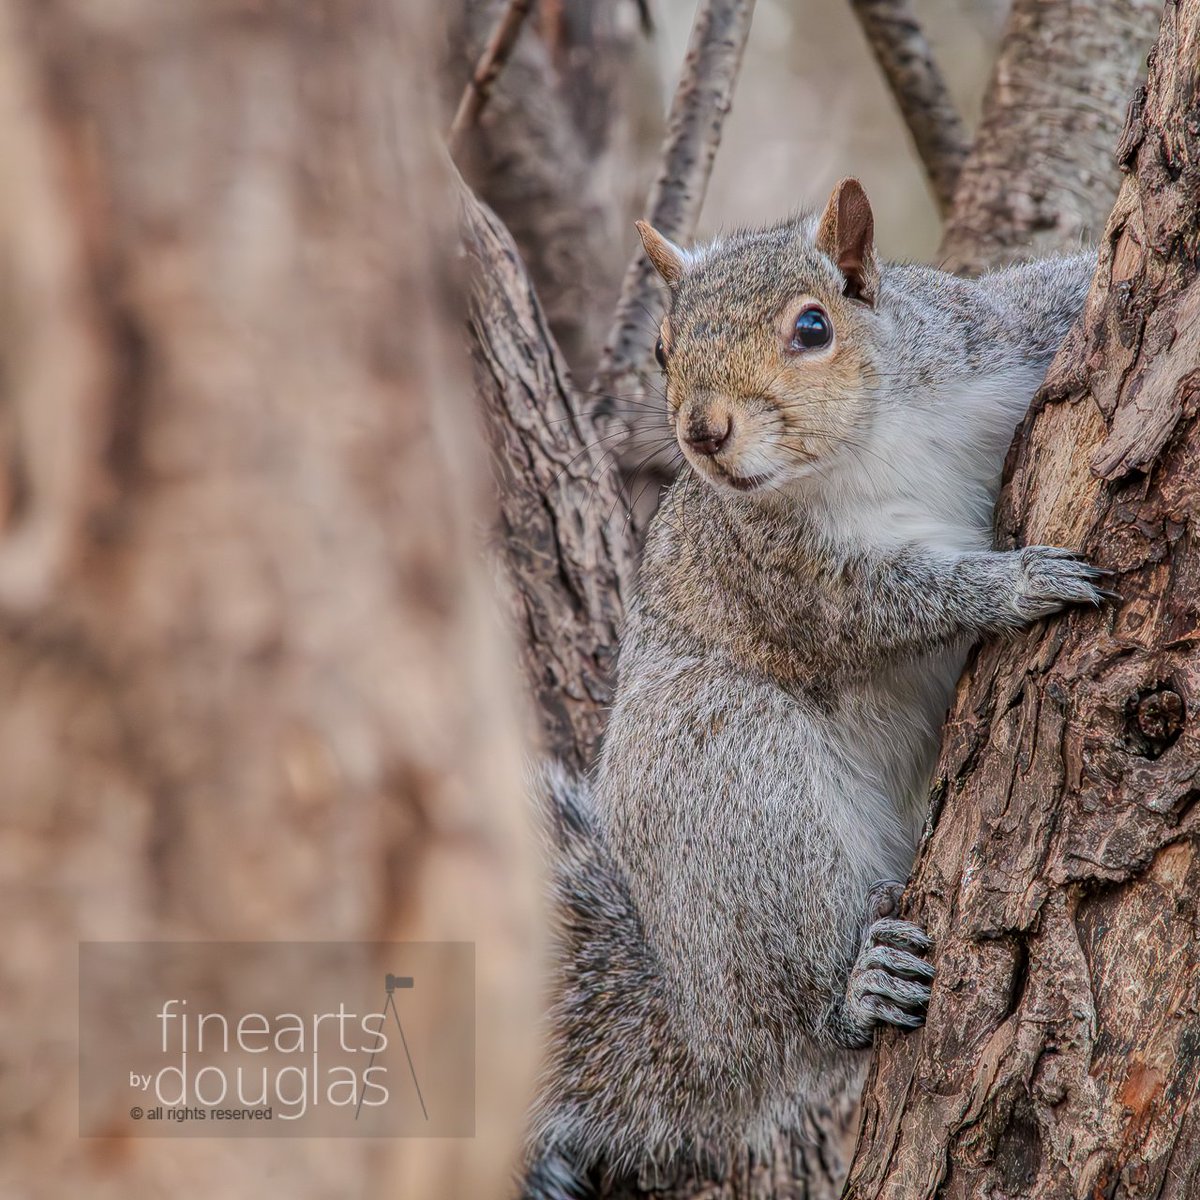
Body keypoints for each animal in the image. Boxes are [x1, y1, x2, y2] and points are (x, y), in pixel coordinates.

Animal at [525, 180, 1104, 1200]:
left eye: (812, 326)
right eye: (663, 349)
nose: (703, 433)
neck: (865, 443)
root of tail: (693, 1009)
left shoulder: (987, 338)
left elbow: (1051, 294)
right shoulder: (792, 575)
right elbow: (893, 605)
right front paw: (1018, 584)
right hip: (734, 786)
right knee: (798, 1012)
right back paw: (856, 989)